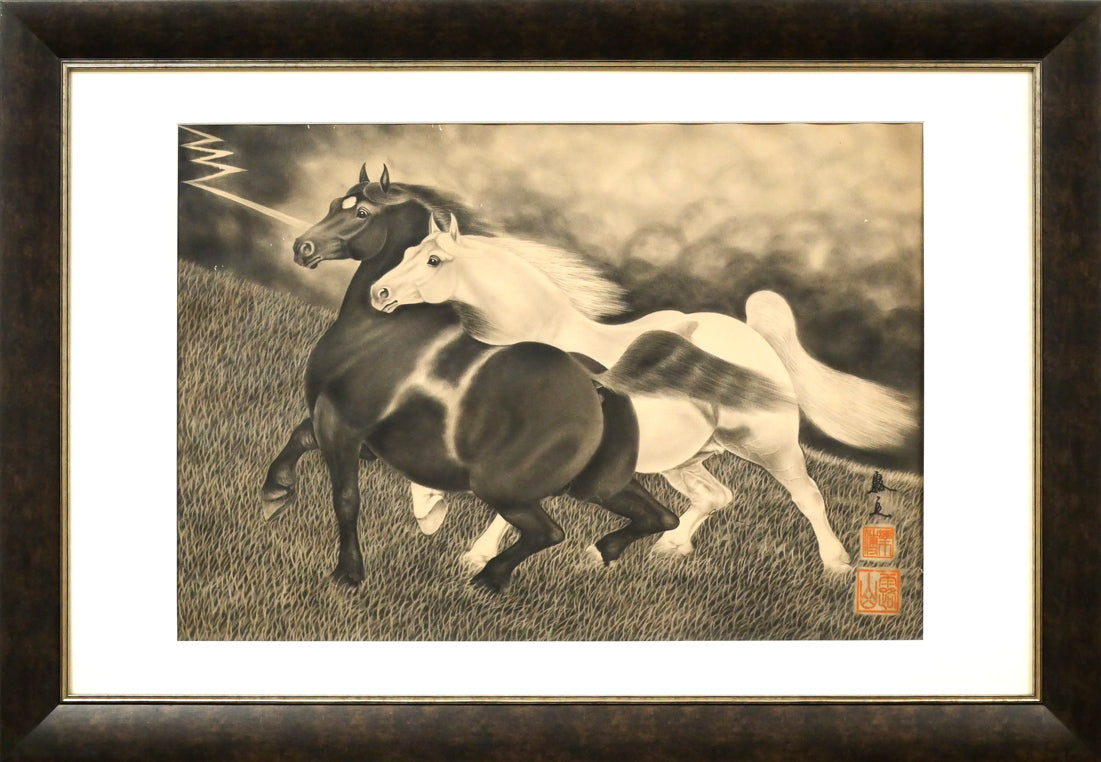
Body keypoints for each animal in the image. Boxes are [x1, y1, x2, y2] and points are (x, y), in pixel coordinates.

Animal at [260, 165, 694, 593]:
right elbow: (299, 438)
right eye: (336, 203)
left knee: (550, 532)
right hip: (601, 486)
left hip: (501, 487)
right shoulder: (336, 424)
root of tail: (597, 386)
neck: (381, 332)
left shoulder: (343, 425)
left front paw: (348, 572)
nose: (302, 248)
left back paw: (488, 576)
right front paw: (274, 494)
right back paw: (599, 552)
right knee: (659, 517)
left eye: (362, 213)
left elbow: (346, 497)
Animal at [369, 215, 919, 574]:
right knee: (718, 496)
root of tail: (755, 338)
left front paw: (473, 553)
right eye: (406, 253)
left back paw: (837, 564)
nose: (379, 293)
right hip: (685, 458)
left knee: (807, 495)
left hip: (769, 445)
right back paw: (667, 547)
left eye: (434, 259)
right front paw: (430, 516)